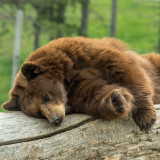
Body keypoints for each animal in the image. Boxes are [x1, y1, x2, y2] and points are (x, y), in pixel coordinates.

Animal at [1, 37, 159, 132]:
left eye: (46, 97)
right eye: (39, 113)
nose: (56, 120)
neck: (67, 81)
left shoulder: (87, 55)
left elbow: (125, 70)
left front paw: (146, 119)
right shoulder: (78, 91)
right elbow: (94, 95)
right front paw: (117, 100)